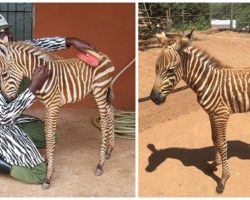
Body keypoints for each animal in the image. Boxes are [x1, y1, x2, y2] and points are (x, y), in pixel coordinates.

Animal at [0, 41, 115, 189]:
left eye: (4, 74)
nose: (6, 100)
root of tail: (103, 55)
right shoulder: (47, 106)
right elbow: (46, 132)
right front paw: (49, 161)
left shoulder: (54, 105)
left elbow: (50, 136)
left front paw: (48, 176)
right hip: (95, 92)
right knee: (111, 111)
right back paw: (109, 149)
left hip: (99, 90)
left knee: (105, 120)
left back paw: (100, 164)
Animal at [150, 28, 250, 193]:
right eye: (156, 67)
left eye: (171, 70)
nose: (153, 98)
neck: (209, 82)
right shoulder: (211, 114)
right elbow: (215, 139)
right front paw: (214, 165)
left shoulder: (221, 114)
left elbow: (222, 143)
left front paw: (223, 180)